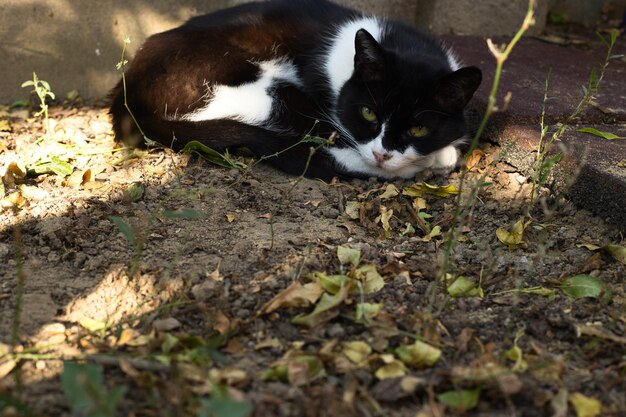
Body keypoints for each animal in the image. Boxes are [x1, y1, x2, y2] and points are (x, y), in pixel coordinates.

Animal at [108, 0, 478, 180]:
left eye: (418, 128)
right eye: (368, 113)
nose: (382, 154)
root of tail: (126, 100)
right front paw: (438, 157)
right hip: (265, 90)